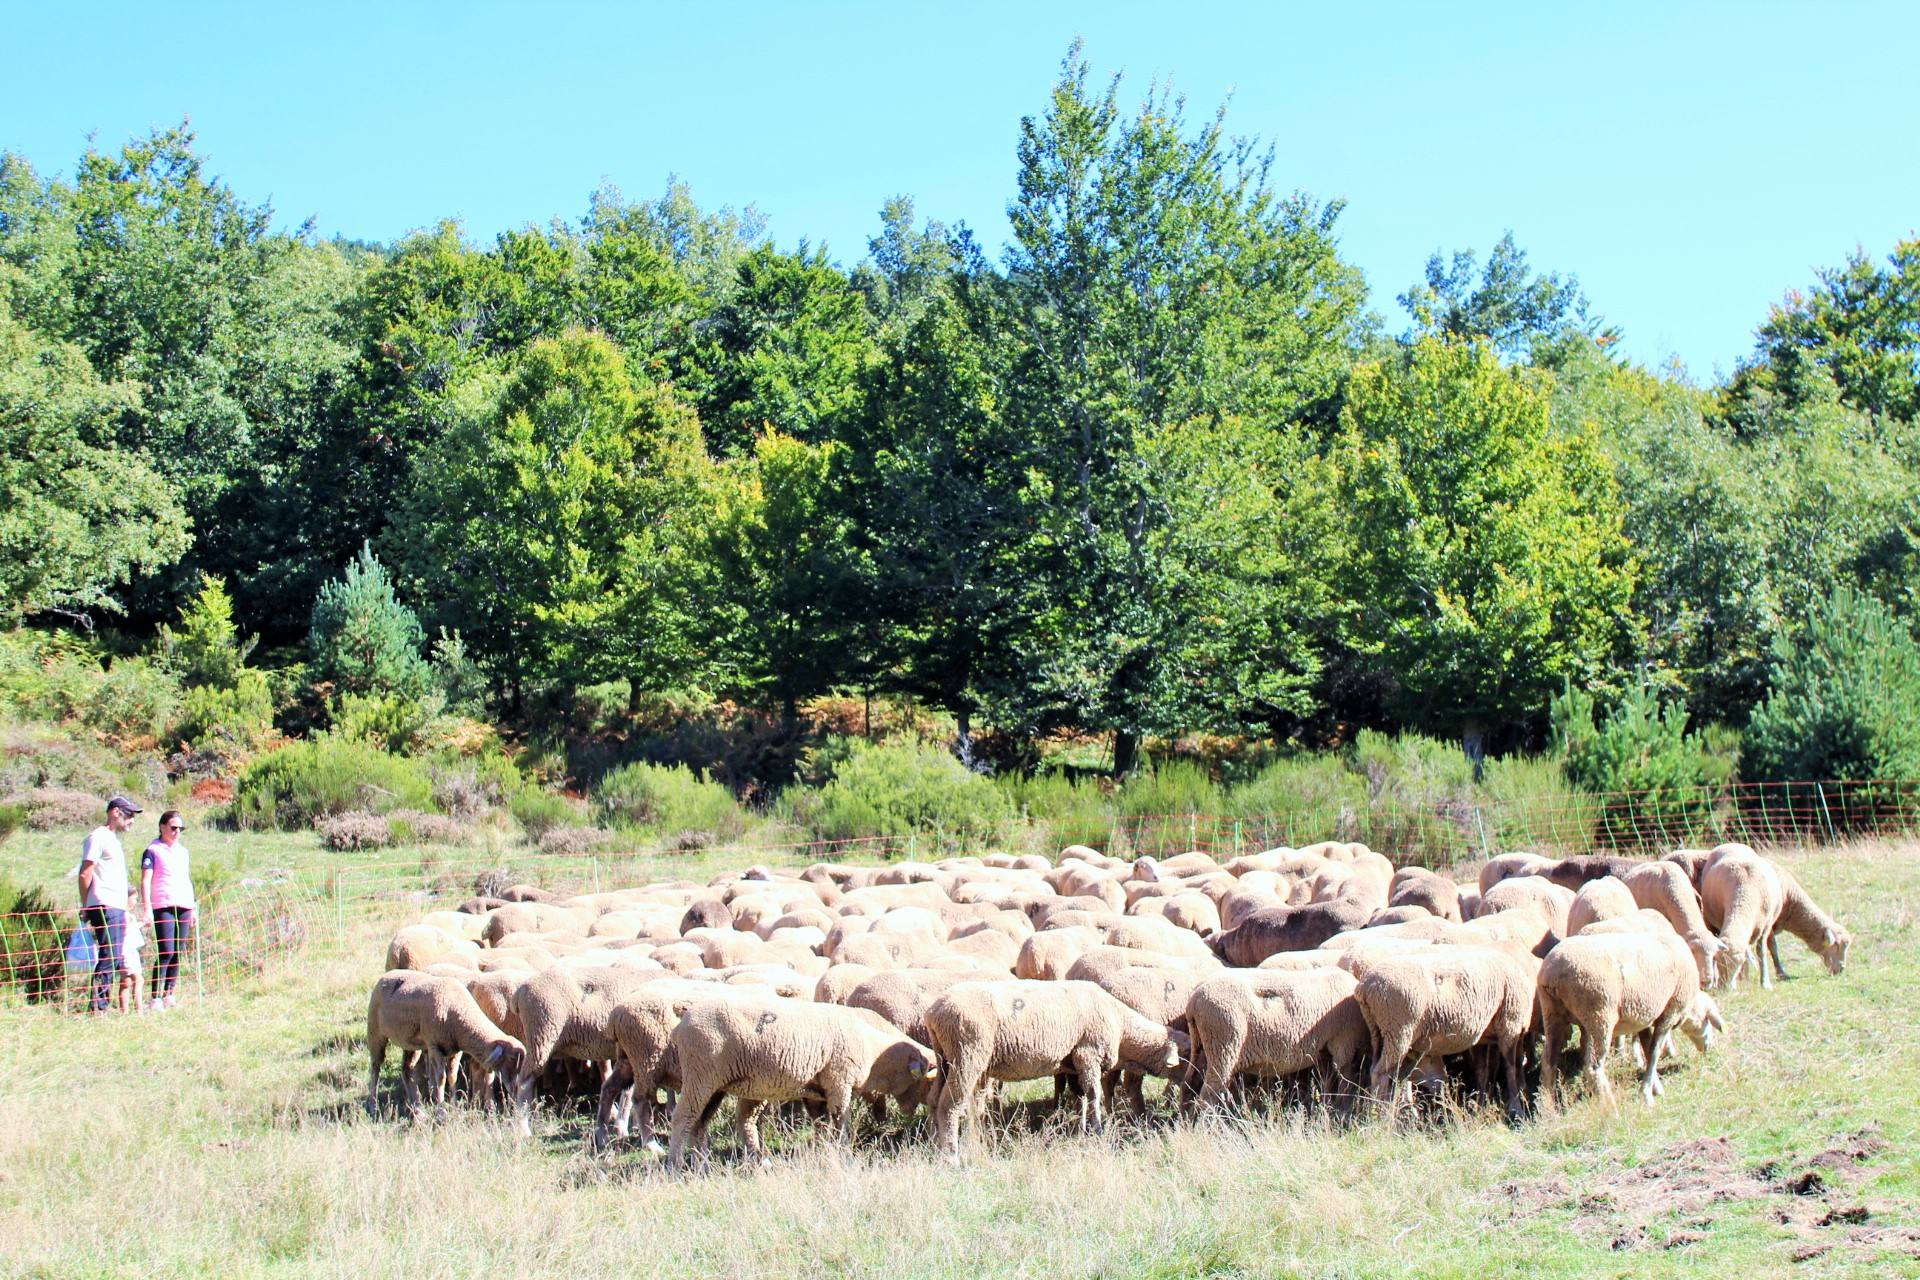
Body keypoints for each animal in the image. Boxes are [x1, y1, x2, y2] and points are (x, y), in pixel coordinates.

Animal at [366, 971, 526, 1120]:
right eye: (511, 1059)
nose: (515, 1089)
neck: (461, 1016)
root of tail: (387, 975)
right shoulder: (434, 1046)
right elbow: (441, 1078)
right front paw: (441, 1112)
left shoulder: (455, 1051)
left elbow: (452, 1076)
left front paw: (454, 1108)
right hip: (375, 1031)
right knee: (375, 1067)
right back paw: (373, 1106)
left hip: (411, 1042)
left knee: (407, 1069)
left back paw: (417, 1109)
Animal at [921, 982, 1175, 1159]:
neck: (1122, 1026)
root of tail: (933, 1012)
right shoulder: (1088, 1054)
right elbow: (1094, 1096)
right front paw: (1098, 1131)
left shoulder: (1073, 1063)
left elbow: (1080, 1098)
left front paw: (1080, 1130)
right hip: (967, 1054)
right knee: (949, 1105)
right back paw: (951, 1156)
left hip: (944, 1058)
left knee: (933, 1100)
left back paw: (934, 1147)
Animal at [1182, 971, 1367, 1113]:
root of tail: (1194, 1001)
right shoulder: (1343, 1042)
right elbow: (1345, 1082)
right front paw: (1341, 1110)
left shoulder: (1324, 1052)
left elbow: (1328, 1083)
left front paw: (1328, 1109)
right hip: (1224, 1046)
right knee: (1207, 1096)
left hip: (1202, 1046)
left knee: (1189, 1085)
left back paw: (1185, 1123)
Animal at [1712, 852, 1781, 990]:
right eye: (1717, 961)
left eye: (1736, 965)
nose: (1725, 988)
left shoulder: (1765, 927)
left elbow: (1761, 952)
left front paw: (1765, 982)